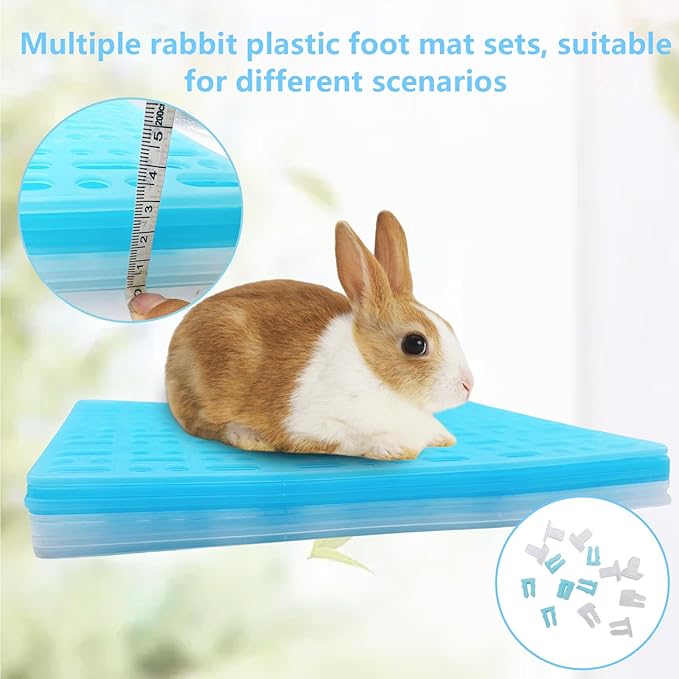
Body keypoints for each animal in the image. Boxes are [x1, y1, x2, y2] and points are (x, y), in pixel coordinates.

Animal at [165, 210, 473, 460]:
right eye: (415, 343)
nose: (468, 386)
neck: (371, 370)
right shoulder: (310, 426)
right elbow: (347, 441)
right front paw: (390, 449)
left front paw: (444, 438)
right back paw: (249, 437)